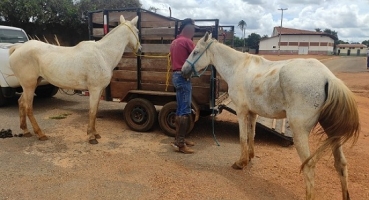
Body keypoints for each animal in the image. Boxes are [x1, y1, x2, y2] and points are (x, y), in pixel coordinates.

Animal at [9, 15, 141, 144]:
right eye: (137, 31)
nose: (140, 49)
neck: (102, 54)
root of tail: (18, 48)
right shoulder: (94, 90)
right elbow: (92, 112)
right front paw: (91, 137)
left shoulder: (99, 90)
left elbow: (95, 111)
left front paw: (95, 133)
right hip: (29, 85)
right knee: (28, 107)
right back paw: (41, 134)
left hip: (32, 84)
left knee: (21, 102)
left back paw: (26, 131)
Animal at [181, 32, 360, 199]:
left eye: (195, 52)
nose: (183, 71)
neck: (238, 67)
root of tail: (328, 77)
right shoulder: (252, 113)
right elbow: (251, 134)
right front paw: (249, 157)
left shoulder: (241, 112)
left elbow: (242, 137)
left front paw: (240, 163)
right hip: (333, 133)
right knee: (341, 164)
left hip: (300, 132)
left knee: (309, 167)